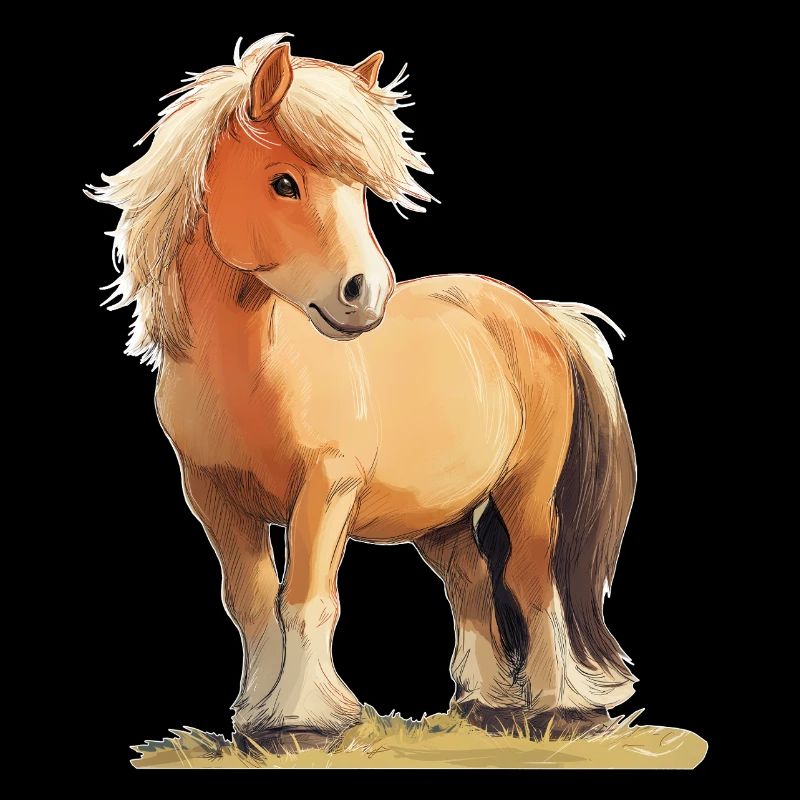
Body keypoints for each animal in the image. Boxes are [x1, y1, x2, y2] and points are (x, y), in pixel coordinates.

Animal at [88, 33, 637, 751]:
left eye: (360, 191)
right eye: (284, 181)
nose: (365, 293)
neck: (252, 376)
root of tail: (538, 314)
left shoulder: (327, 489)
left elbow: (306, 599)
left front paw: (302, 721)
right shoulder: (213, 498)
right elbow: (250, 603)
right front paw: (255, 721)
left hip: (527, 491)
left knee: (531, 580)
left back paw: (558, 710)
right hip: (442, 518)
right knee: (471, 585)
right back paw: (486, 706)